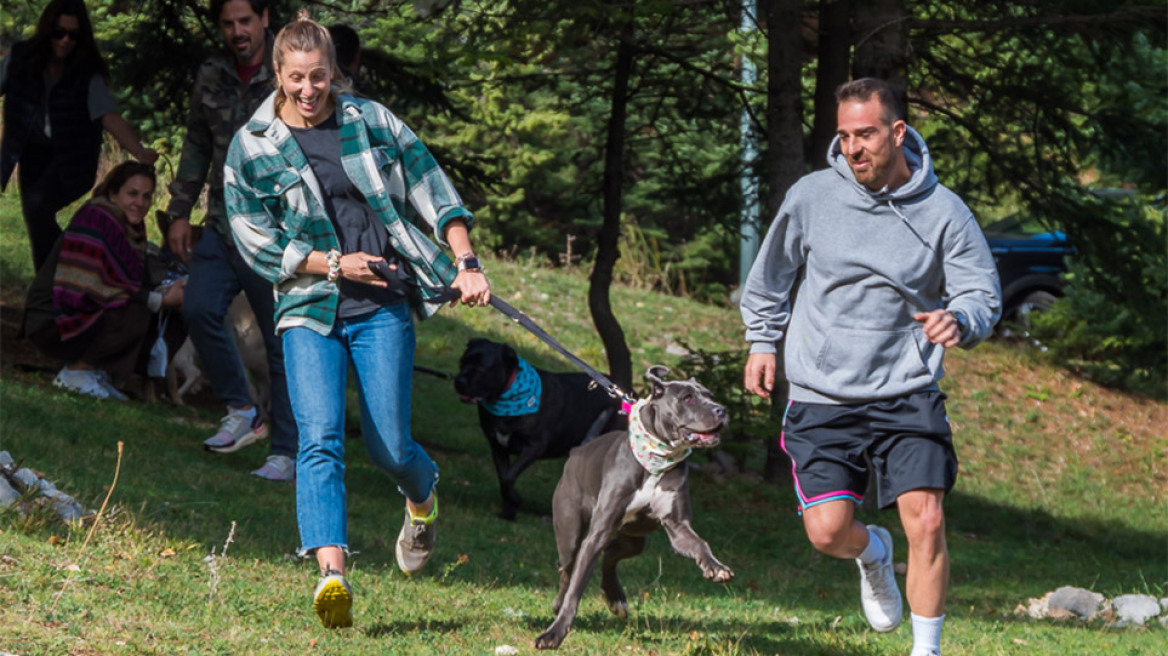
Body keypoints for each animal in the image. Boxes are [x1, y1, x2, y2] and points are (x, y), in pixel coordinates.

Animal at [450, 338, 626, 518]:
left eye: (481, 367)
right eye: (462, 362)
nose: (458, 381)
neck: (506, 398)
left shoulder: (534, 446)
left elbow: (508, 477)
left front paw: (515, 500)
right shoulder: (497, 446)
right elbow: (504, 477)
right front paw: (509, 512)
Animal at [534, 364, 733, 644]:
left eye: (711, 395)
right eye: (688, 398)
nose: (721, 410)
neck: (658, 457)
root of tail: (578, 450)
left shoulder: (678, 527)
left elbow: (699, 544)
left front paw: (716, 568)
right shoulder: (596, 533)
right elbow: (575, 589)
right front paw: (554, 633)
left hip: (635, 538)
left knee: (610, 554)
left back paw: (615, 598)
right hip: (570, 531)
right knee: (567, 570)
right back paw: (559, 603)